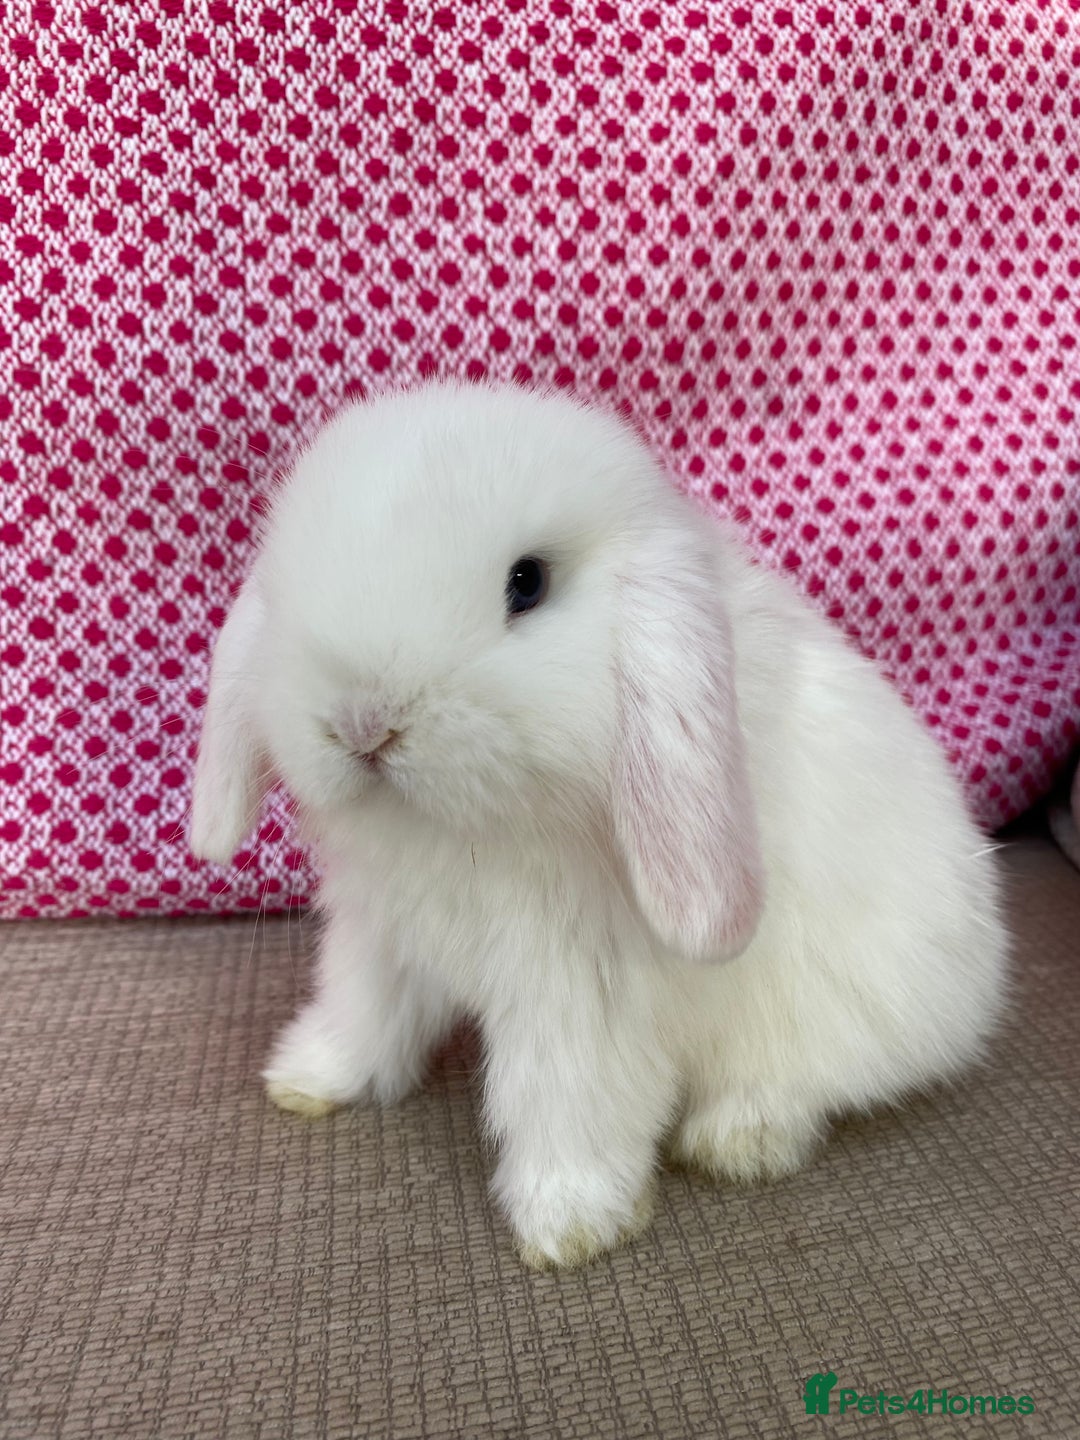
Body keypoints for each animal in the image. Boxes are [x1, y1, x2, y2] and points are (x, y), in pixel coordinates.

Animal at [191, 379, 1009, 1270]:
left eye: (527, 583)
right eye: (286, 586)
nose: (363, 725)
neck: (458, 834)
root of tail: (978, 984)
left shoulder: (583, 988)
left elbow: (567, 1096)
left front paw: (567, 1225)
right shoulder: (381, 938)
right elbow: (364, 1015)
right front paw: (309, 1079)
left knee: (807, 1079)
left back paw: (739, 1140)